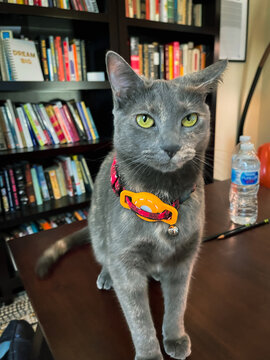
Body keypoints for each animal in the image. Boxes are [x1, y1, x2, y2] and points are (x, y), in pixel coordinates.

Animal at [35, 52, 226, 360]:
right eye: (145, 120)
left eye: (190, 119)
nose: (171, 146)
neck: (162, 196)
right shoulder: (125, 262)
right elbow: (138, 318)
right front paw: (149, 353)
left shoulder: (185, 257)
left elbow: (177, 303)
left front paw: (175, 338)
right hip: (100, 234)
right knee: (104, 257)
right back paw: (106, 276)